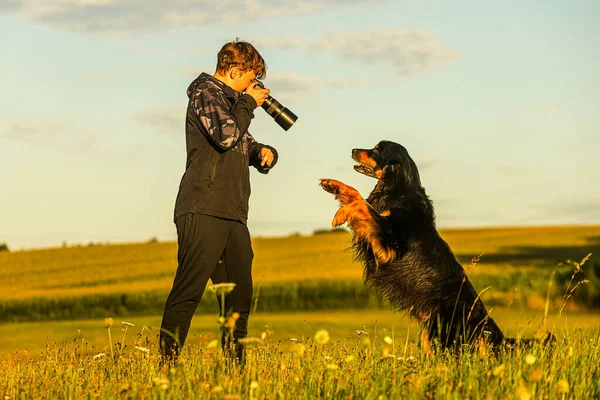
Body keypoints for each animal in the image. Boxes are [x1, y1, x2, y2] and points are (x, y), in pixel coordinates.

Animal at [318, 141, 552, 354]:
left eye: (377, 149)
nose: (353, 150)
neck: (400, 190)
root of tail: (490, 329)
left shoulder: (390, 246)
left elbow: (362, 203)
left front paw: (341, 212)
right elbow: (359, 200)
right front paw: (333, 184)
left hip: (441, 334)